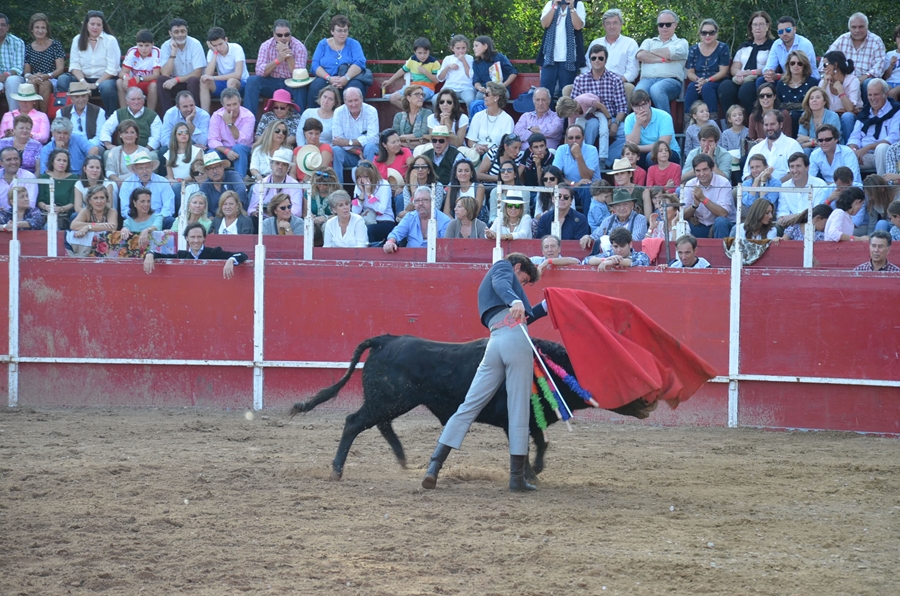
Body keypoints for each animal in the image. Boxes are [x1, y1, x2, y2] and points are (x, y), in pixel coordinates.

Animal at [294, 336, 652, 480]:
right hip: (389, 400)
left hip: (391, 402)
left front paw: (535, 469)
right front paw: (531, 472)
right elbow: (532, 443)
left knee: (378, 425)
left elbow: (540, 442)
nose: (649, 401)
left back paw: (402, 457)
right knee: (354, 422)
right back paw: (337, 470)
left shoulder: (527, 421)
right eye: (622, 375)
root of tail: (386, 339)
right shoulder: (515, 420)